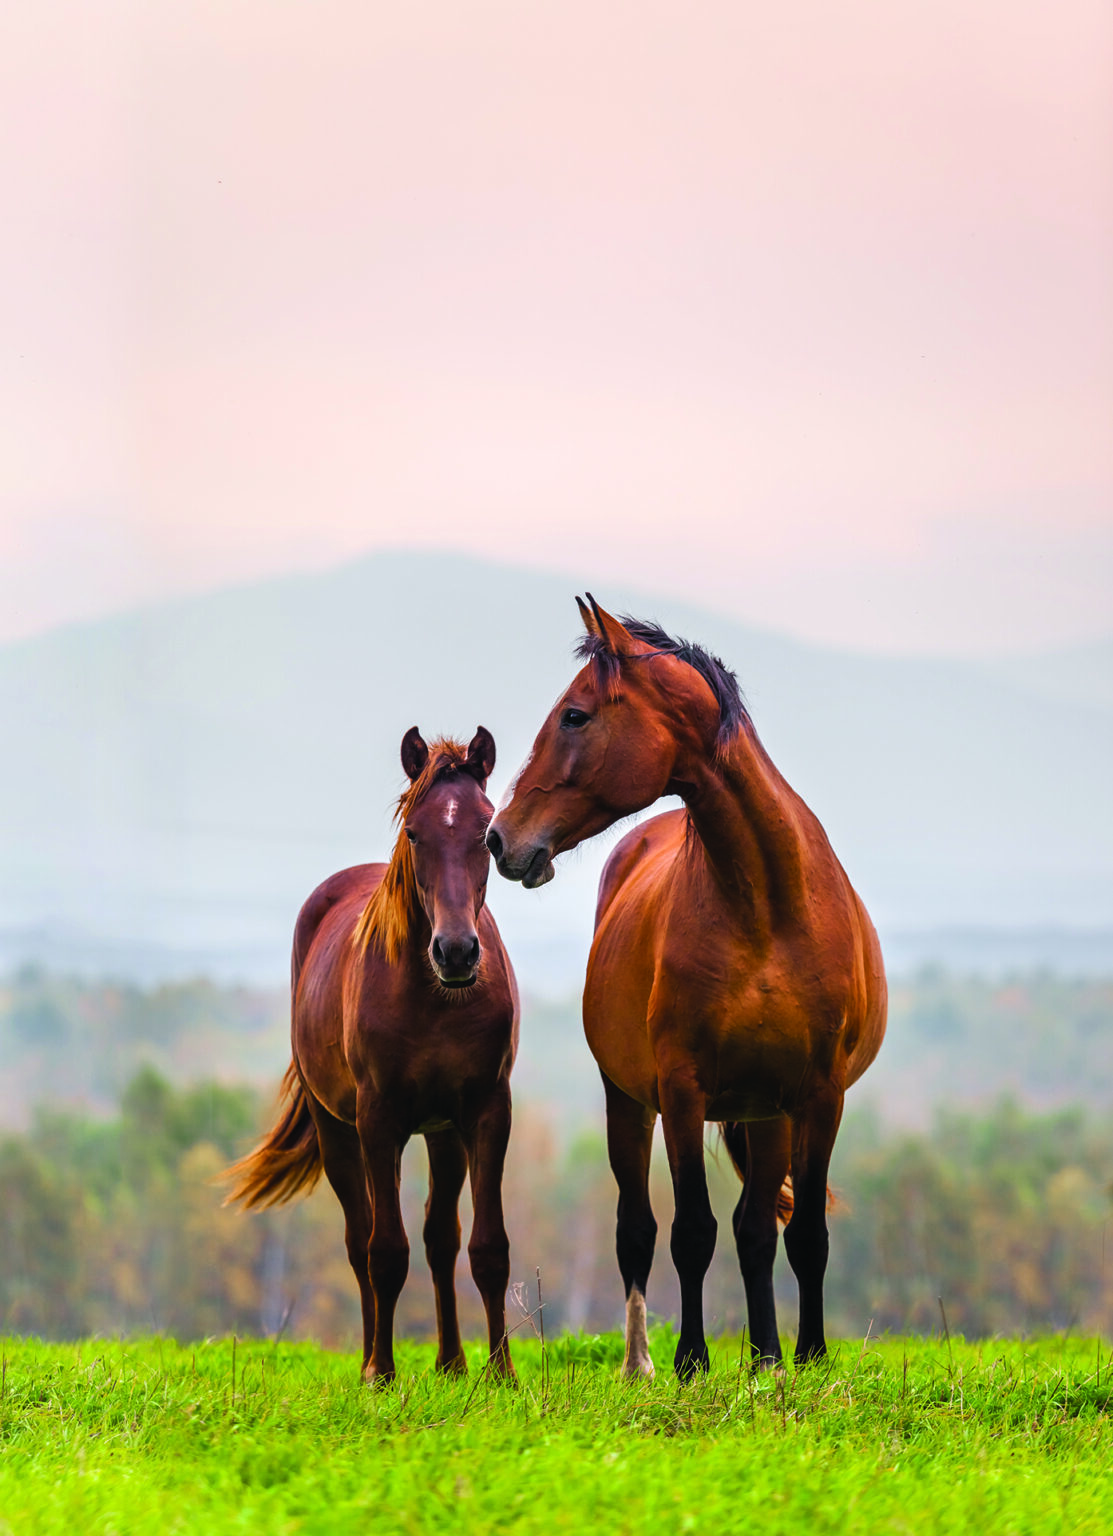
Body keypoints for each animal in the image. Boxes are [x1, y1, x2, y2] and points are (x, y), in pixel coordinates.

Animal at [227, 724, 521, 1388]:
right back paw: (369, 1360)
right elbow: (384, 1252)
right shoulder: (379, 1120)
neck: (435, 998)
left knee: (440, 1237)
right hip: (340, 1130)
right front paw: (382, 1373)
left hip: (441, 1133)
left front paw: (502, 1376)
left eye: (486, 831)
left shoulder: (486, 1112)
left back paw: (451, 1362)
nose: (457, 952)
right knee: (360, 1238)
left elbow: (487, 1246)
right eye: (414, 831)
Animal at [485, 599, 884, 1382]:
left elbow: (803, 1233)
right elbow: (690, 1231)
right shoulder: (680, 1089)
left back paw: (766, 1357)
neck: (766, 906)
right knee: (637, 1229)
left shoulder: (817, 1094)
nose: (499, 839)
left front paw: (805, 1356)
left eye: (574, 716)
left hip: (768, 1113)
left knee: (756, 1229)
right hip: (630, 1103)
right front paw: (692, 1361)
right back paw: (640, 1363)